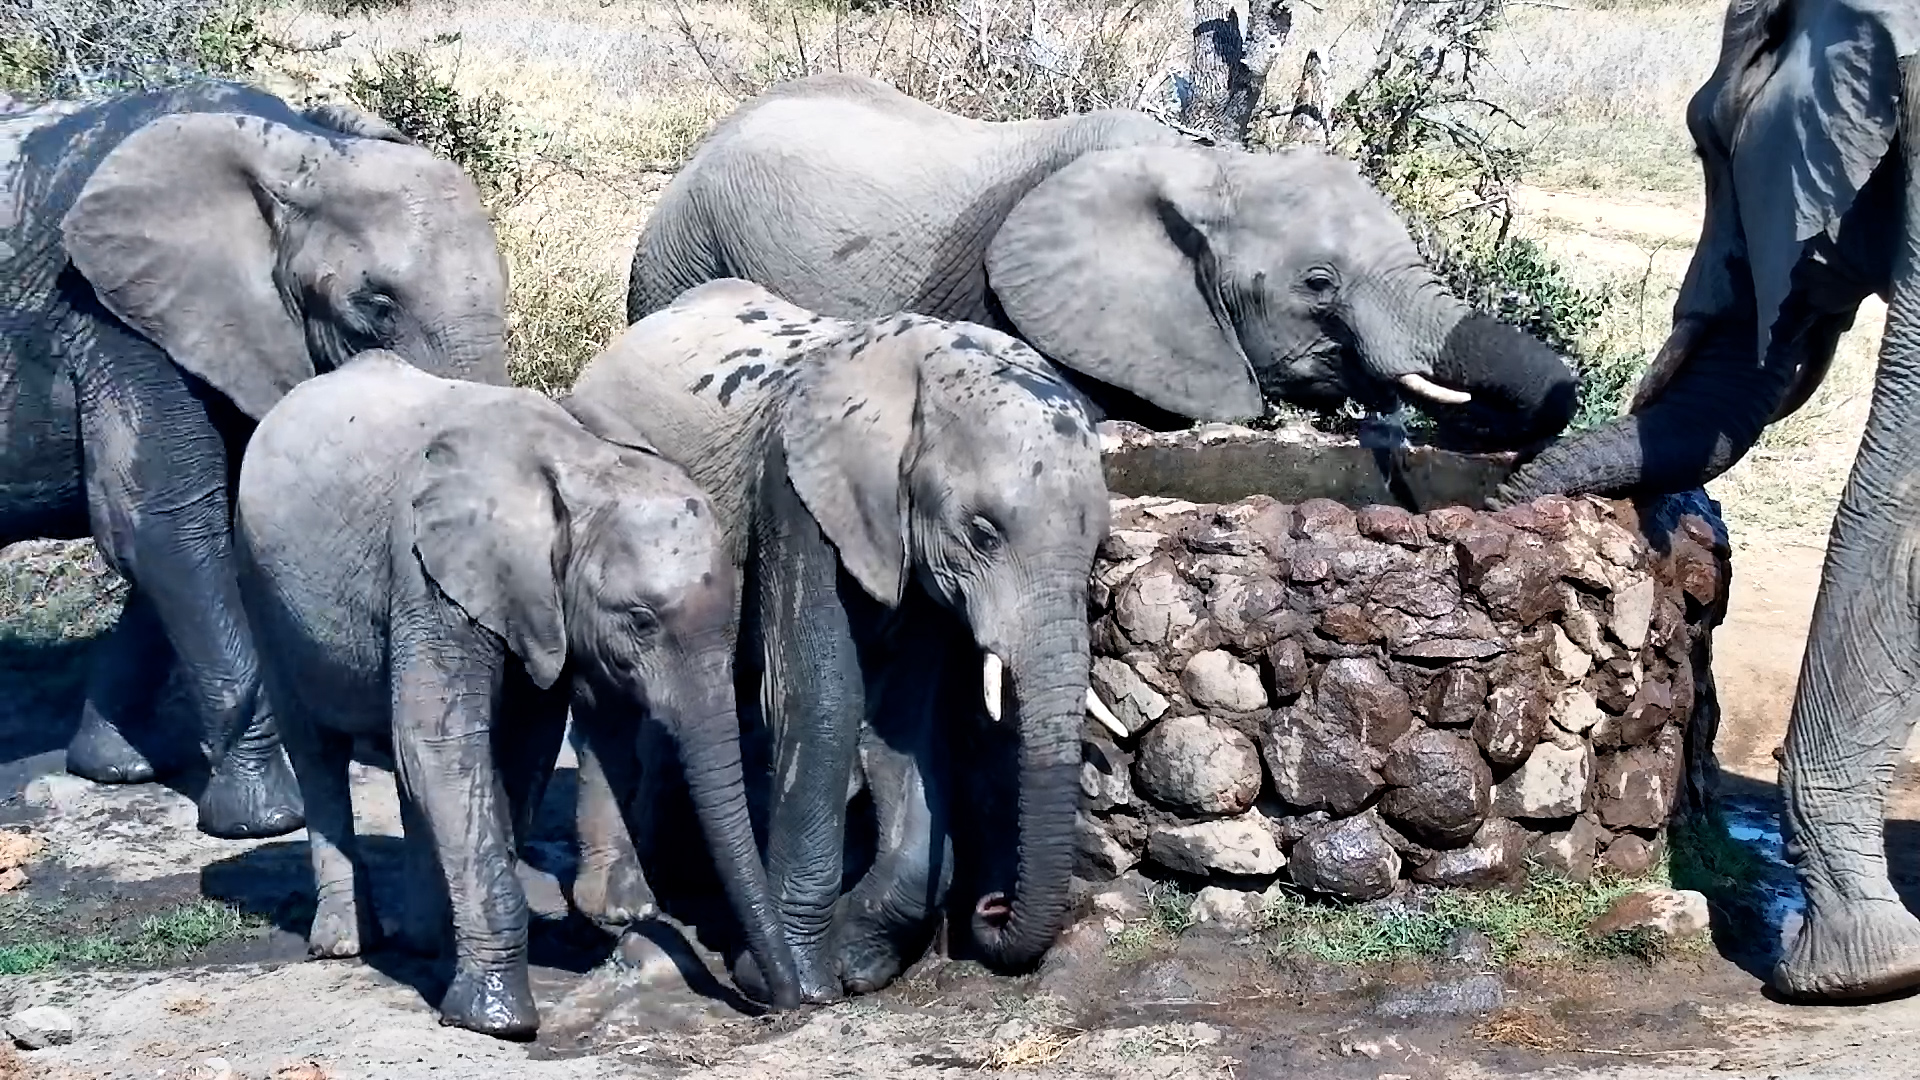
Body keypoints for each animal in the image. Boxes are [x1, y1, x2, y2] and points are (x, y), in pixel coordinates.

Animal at [0, 79, 510, 839]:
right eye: (376, 306)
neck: (296, 149)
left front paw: (115, 765)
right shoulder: (115, 320)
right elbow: (164, 526)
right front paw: (262, 819)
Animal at [231, 350, 801, 1038]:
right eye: (640, 620)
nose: (783, 999)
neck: (579, 463)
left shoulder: (536, 605)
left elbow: (520, 745)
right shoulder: (428, 575)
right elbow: (440, 741)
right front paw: (494, 1019)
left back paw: (425, 941)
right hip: (260, 583)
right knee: (317, 749)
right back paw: (345, 943)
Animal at [563, 278, 1112, 1001]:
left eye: (1098, 544)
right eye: (983, 532)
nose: (991, 908)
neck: (916, 373)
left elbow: (903, 721)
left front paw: (860, 963)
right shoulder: (795, 494)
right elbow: (820, 698)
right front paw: (792, 980)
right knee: (610, 699)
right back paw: (626, 904)